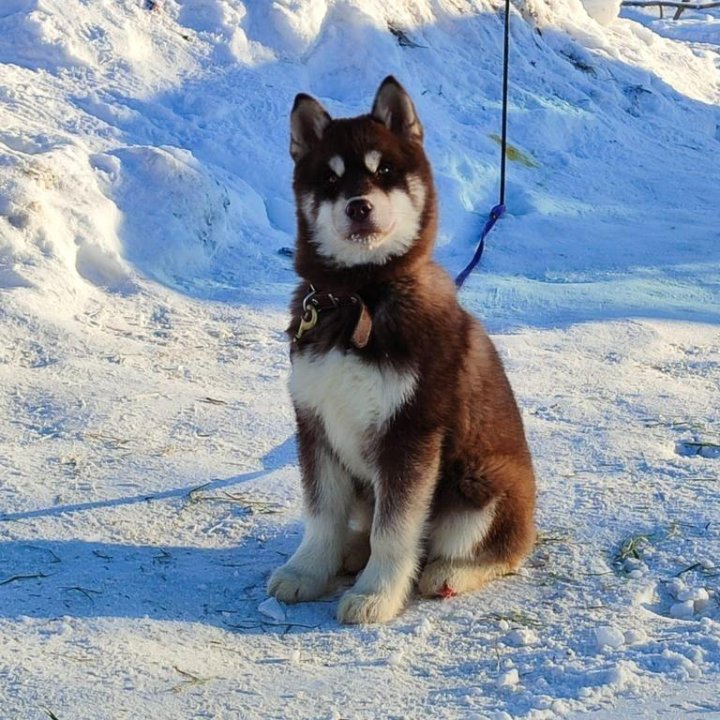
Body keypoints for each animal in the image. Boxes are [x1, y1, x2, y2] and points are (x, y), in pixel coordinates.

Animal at [268, 76, 536, 620]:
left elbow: (395, 530)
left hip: (481, 481)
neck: (359, 296)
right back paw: (352, 551)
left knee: (499, 549)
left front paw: (376, 594)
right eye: (329, 179)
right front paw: (309, 570)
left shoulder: (410, 434)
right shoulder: (315, 423)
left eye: (384, 171)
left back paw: (449, 572)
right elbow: (321, 514)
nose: (358, 205)